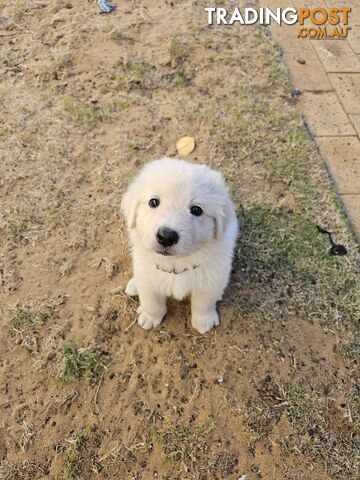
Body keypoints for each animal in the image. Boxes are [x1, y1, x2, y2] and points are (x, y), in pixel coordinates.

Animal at [121, 158, 239, 334]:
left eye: (196, 210)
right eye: (153, 202)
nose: (166, 236)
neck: (175, 265)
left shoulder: (209, 282)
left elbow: (203, 304)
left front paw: (203, 321)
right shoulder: (148, 281)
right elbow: (152, 303)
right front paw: (150, 317)